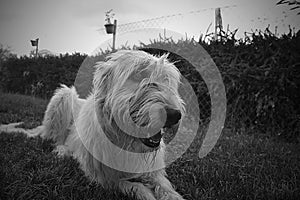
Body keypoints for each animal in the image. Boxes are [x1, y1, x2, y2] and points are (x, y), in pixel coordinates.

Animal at [37, 50, 186, 200]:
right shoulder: (102, 178)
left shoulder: (152, 171)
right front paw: (145, 192)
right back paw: (63, 150)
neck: (125, 141)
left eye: (166, 79)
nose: (174, 115)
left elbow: (164, 185)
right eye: (138, 75)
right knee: (54, 138)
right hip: (64, 96)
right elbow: (128, 185)